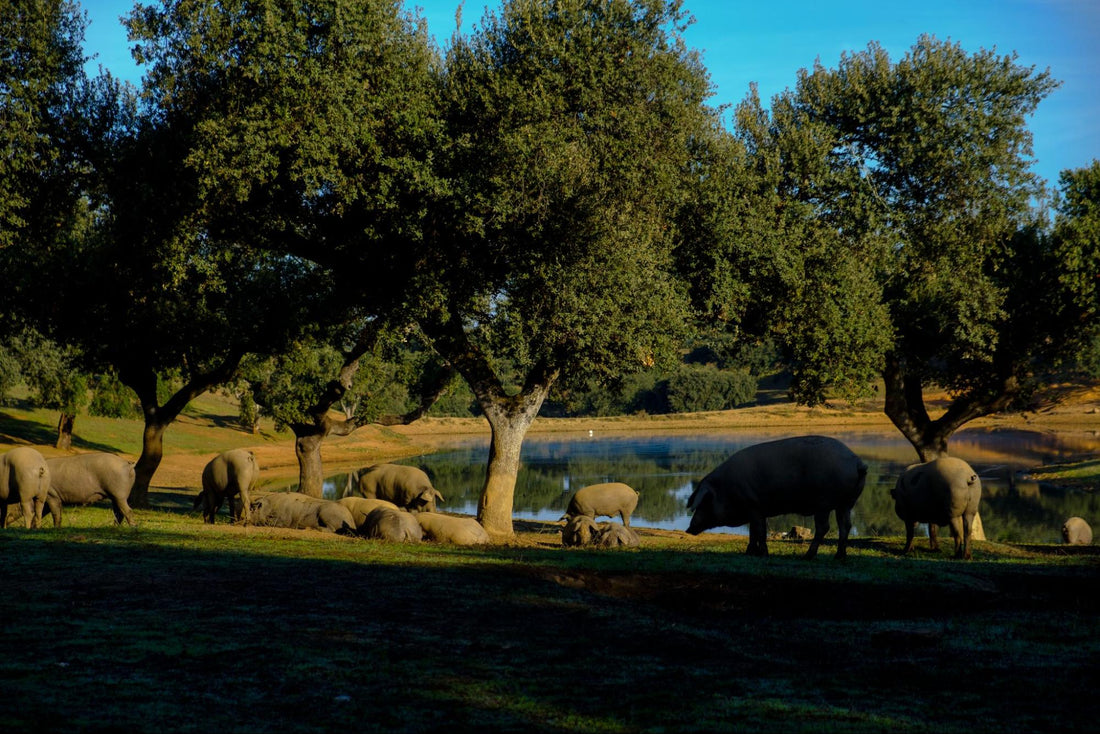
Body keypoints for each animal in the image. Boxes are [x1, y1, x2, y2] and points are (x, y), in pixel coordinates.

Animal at [686, 433, 866, 559]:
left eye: (704, 502)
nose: (688, 529)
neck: (726, 489)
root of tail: (856, 461)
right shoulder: (756, 510)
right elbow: (753, 532)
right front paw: (749, 553)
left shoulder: (754, 506)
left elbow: (759, 531)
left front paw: (763, 555)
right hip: (847, 503)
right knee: (846, 525)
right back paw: (839, 556)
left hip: (824, 503)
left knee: (824, 527)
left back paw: (807, 556)